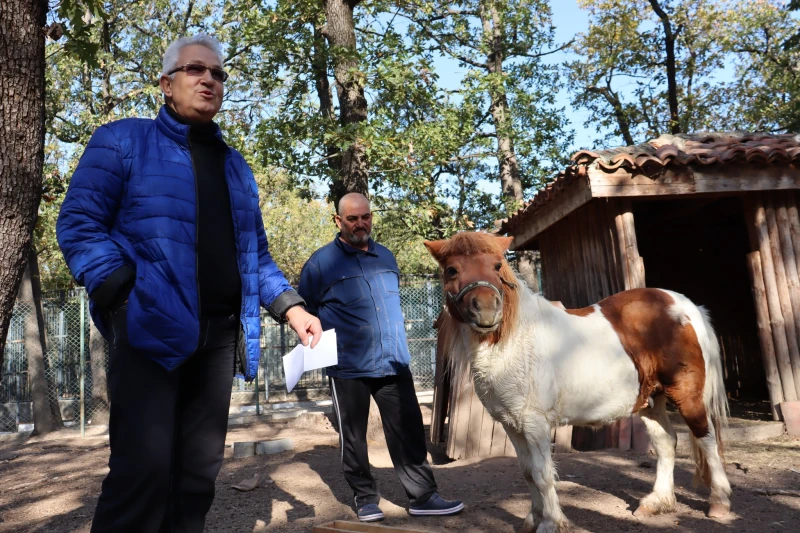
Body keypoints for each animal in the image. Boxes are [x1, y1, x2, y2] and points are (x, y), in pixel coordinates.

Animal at [424, 232, 732, 532]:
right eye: (452, 270)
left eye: (497, 266)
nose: (487, 310)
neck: (515, 340)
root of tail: (686, 306)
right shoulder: (511, 424)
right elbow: (527, 473)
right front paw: (532, 519)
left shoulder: (534, 424)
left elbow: (542, 474)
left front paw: (551, 523)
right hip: (650, 400)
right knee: (667, 442)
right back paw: (656, 503)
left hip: (686, 395)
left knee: (706, 438)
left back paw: (719, 502)